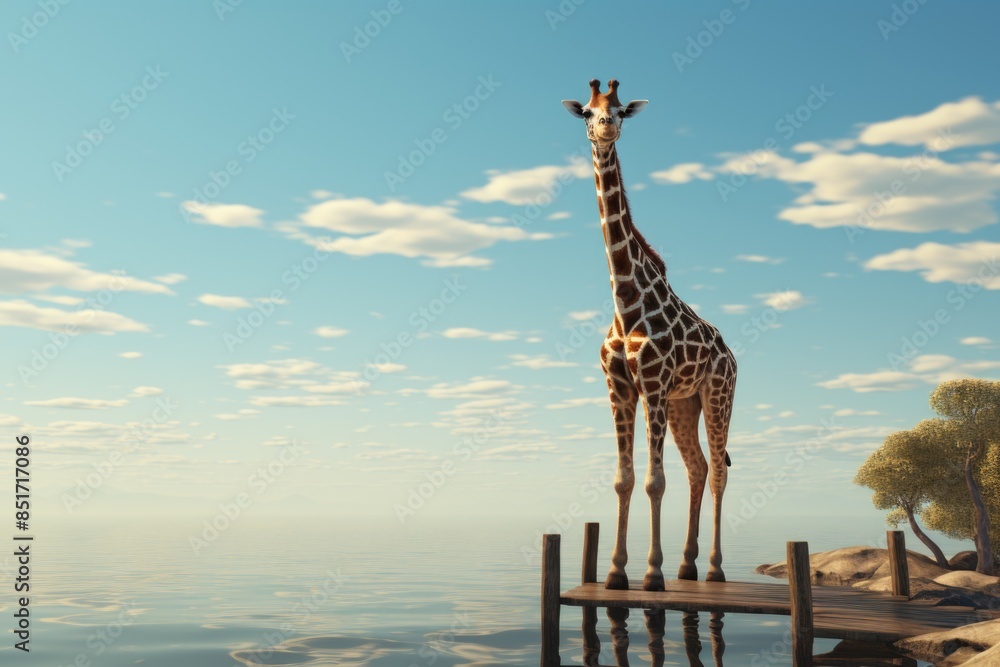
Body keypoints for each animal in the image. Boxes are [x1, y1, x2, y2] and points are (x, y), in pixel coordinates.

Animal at [562, 79, 737, 591]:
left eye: (621, 109)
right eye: (587, 112)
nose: (606, 127)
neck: (625, 301)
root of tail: (731, 354)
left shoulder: (654, 385)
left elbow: (654, 481)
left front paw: (651, 574)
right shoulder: (620, 387)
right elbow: (624, 478)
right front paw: (617, 572)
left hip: (717, 394)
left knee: (717, 471)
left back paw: (713, 569)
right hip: (685, 403)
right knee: (698, 467)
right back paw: (688, 565)